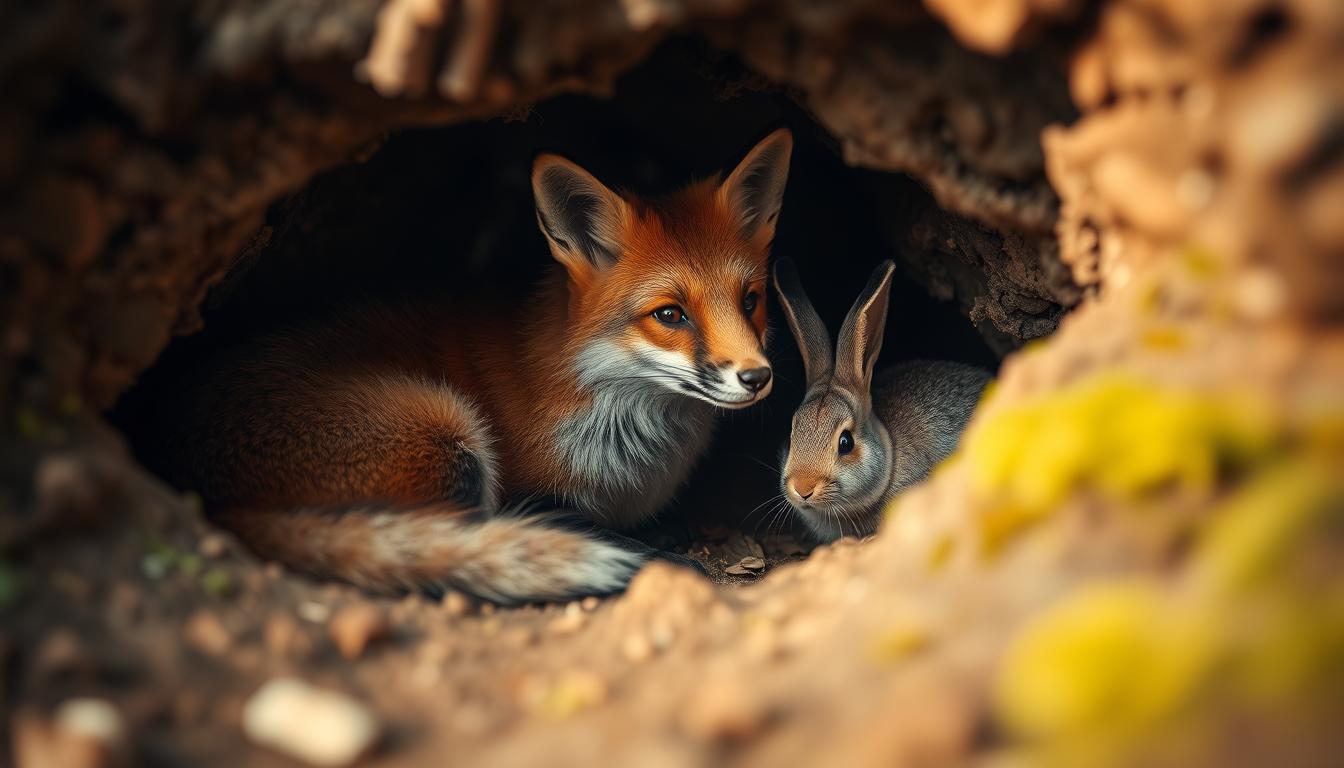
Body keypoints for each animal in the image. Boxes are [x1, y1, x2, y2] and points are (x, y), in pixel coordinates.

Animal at [162, 129, 790, 605]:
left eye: (750, 300)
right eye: (670, 314)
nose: (757, 376)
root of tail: (204, 499)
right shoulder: (527, 495)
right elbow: (555, 522)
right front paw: (656, 550)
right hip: (446, 435)